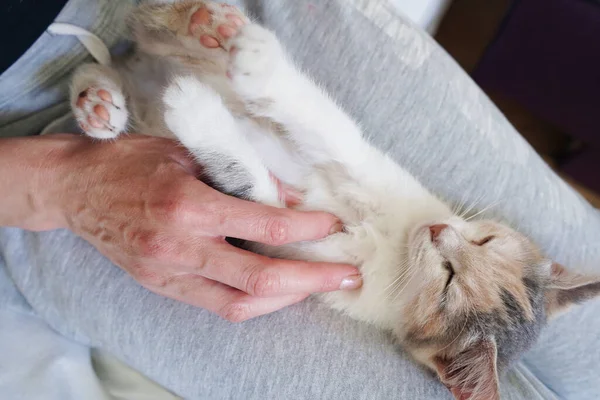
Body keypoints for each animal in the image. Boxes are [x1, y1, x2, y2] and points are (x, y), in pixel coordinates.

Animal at [68, 1, 600, 398]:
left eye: (447, 286)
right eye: (487, 240)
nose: (436, 230)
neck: (393, 241)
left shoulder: (302, 252)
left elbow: (262, 201)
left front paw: (197, 113)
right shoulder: (369, 169)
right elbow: (328, 127)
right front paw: (259, 67)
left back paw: (102, 103)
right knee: (153, 37)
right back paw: (201, 25)